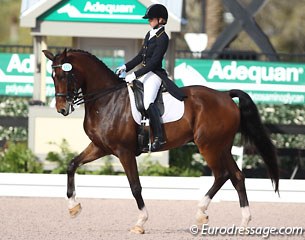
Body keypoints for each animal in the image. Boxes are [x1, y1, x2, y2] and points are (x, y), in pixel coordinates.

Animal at [42, 48, 278, 234]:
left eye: (65, 76)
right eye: (53, 76)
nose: (62, 109)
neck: (106, 100)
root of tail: (225, 95)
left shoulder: (124, 151)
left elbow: (135, 186)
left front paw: (140, 222)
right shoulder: (100, 147)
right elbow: (72, 164)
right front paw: (73, 207)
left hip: (208, 146)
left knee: (222, 175)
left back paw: (201, 213)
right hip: (222, 147)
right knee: (236, 176)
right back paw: (244, 223)